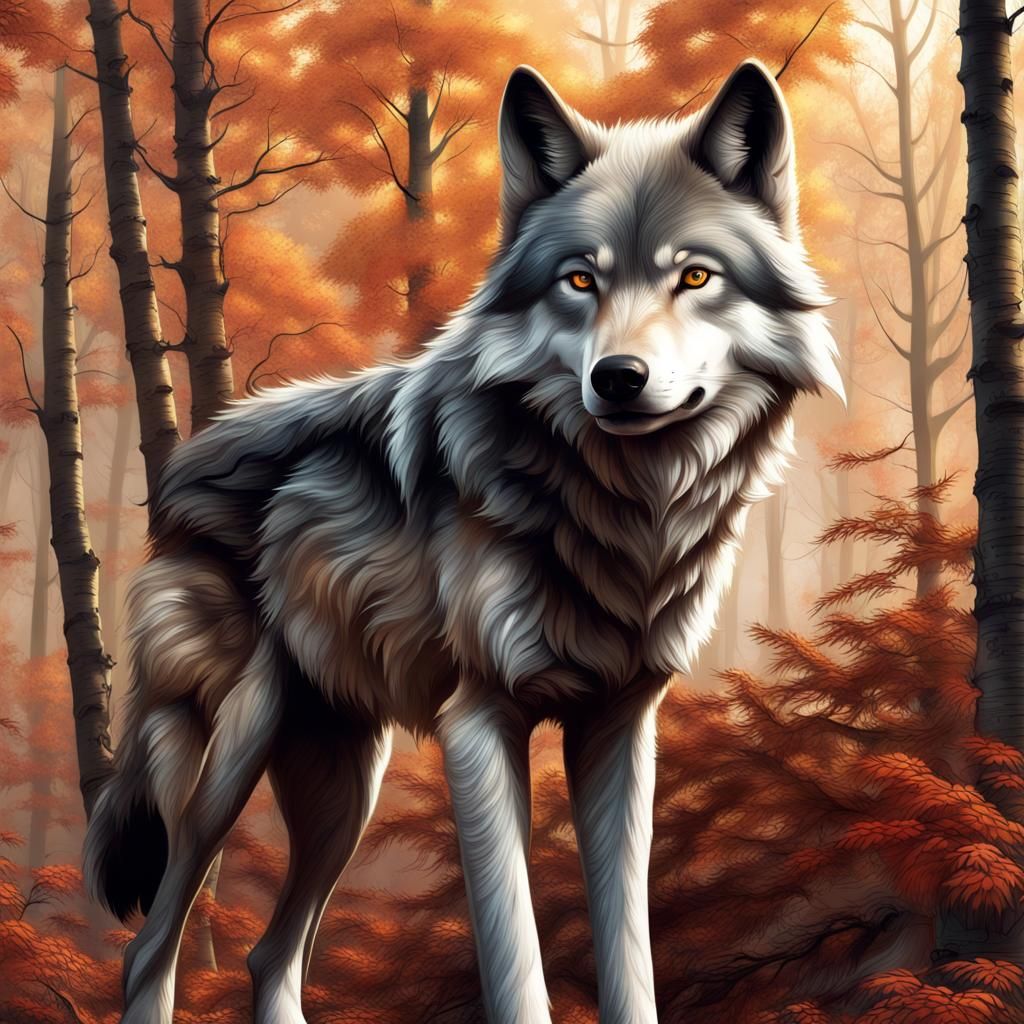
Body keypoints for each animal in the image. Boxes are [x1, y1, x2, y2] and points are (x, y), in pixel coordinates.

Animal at [85, 59, 841, 1024]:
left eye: (697, 276)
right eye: (580, 282)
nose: (617, 378)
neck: (620, 507)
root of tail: (185, 464)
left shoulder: (622, 727)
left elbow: (629, 951)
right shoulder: (481, 721)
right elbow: (514, 958)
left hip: (344, 788)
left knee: (268, 954)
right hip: (236, 755)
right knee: (149, 943)